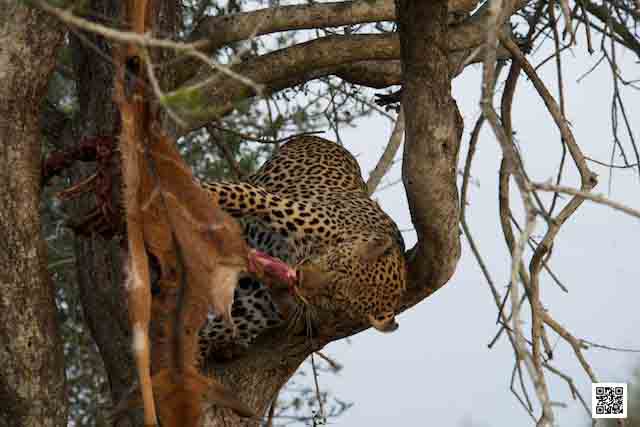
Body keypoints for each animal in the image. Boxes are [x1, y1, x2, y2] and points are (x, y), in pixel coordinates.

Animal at [200, 135, 407, 351]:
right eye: (334, 262)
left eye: (333, 298)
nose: (299, 277)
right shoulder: (288, 209)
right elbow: (244, 195)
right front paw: (205, 189)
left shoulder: (254, 309)